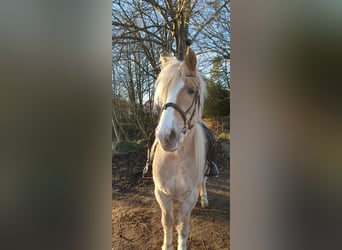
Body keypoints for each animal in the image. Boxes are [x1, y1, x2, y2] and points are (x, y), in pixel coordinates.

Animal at [153, 46, 211, 249]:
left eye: (191, 90)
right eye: (162, 92)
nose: (165, 137)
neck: (176, 159)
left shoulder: (189, 197)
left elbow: (182, 228)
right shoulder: (161, 193)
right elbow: (167, 223)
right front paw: (166, 245)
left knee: (204, 182)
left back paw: (205, 199)